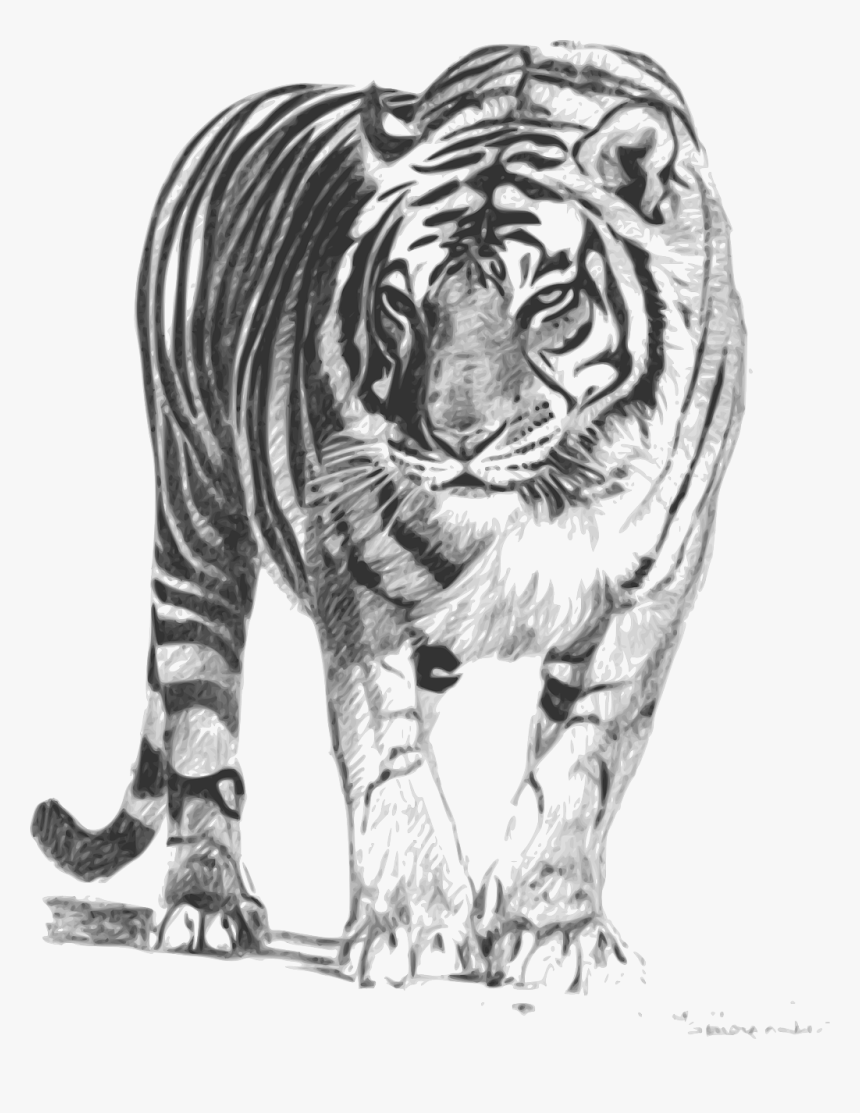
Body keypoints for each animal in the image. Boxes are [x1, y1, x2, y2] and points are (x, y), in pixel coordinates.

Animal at [31, 42, 745, 990]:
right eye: (404, 302)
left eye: (548, 300)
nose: (457, 437)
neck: (546, 494)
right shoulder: (356, 575)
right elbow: (385, 749)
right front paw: (413, 925)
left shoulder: (648, 591)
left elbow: (581, 761)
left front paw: (551, 929)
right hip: (196, 514)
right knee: (199, 724)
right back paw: (207, 904)